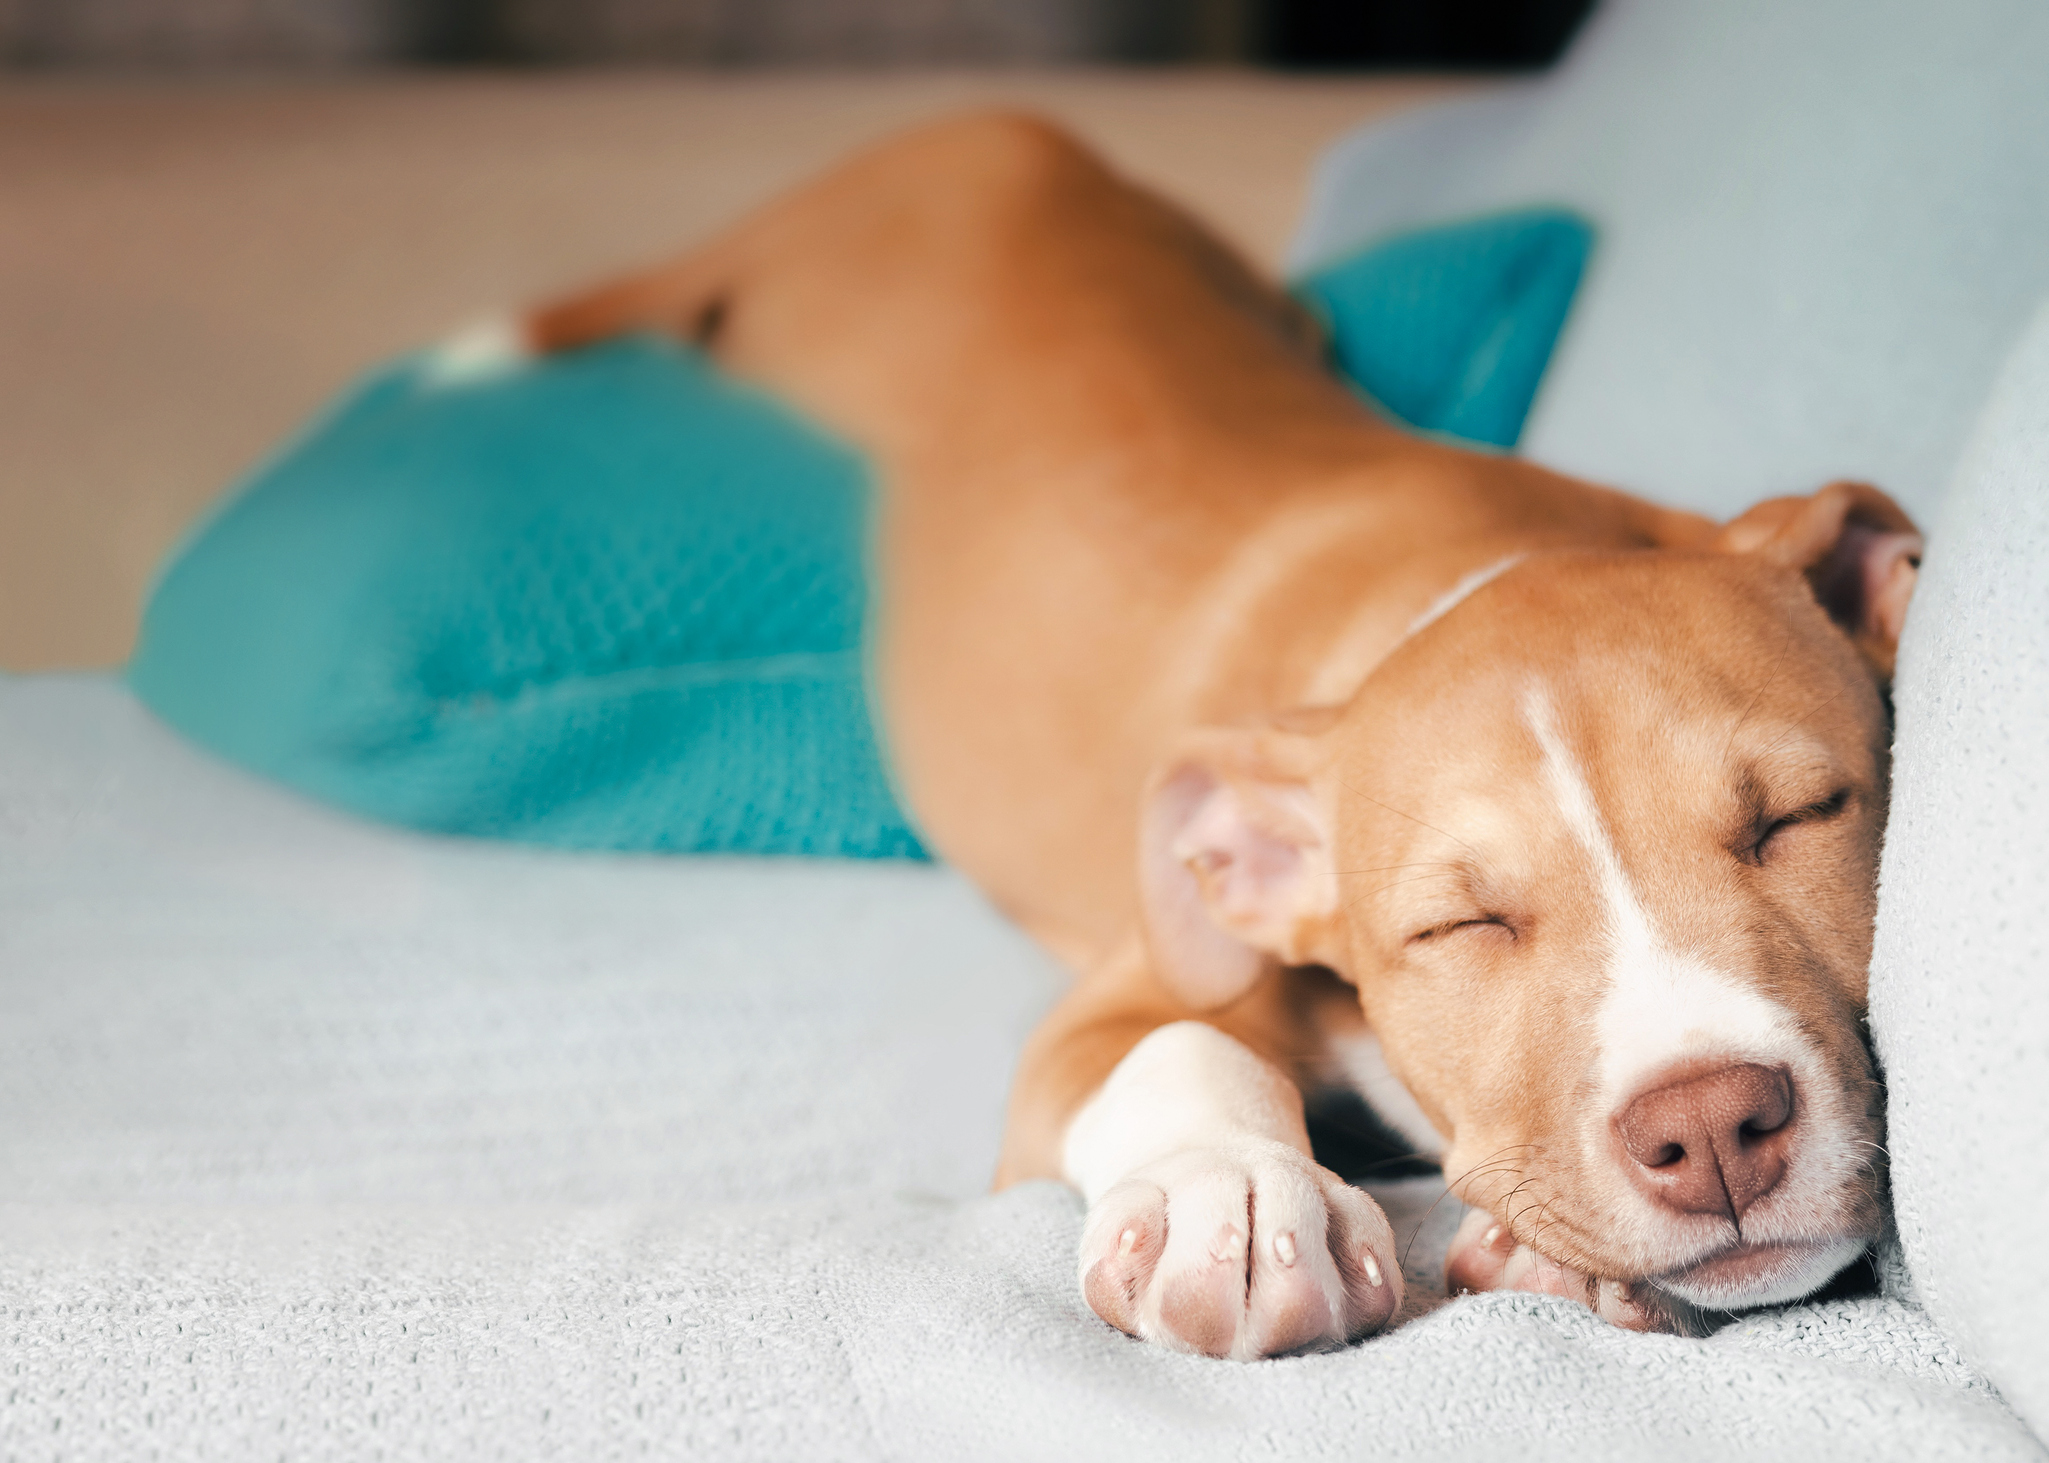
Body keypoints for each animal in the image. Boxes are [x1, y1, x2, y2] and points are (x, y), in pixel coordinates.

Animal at [512, 113, 1917, 1352]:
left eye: (1801, 816)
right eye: (1461, 926)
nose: (1712, 1123)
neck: (1457, 569)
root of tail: (985, 129)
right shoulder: (1113, 1001)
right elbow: (1181, 1037)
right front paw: (1230, 1195)